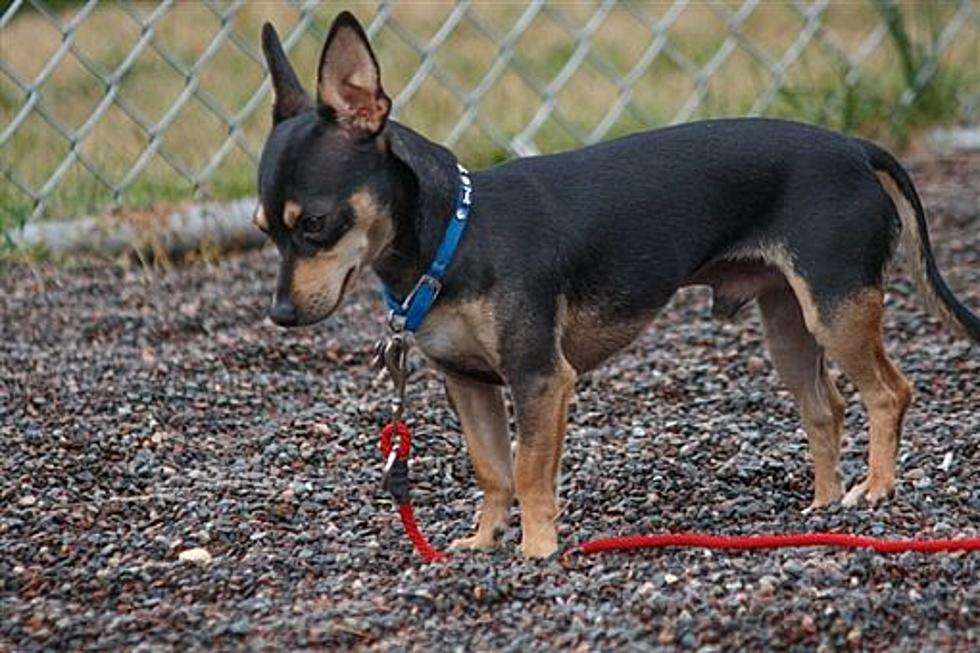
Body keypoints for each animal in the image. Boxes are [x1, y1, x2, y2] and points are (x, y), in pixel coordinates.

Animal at [255, 12, 980, 556]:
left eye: (314, 224)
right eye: (266, 230)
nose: (281, 314)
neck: (456, 236)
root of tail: (855, 147)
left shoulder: (539, 378)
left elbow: (527, 467)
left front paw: (537, 551)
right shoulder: (469, 383)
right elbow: (491, 468)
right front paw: (484, 542)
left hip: (836, 309)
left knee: (889, 391)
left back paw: (876, 488)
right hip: (788, 321)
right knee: (824, 406)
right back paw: (824, 506)